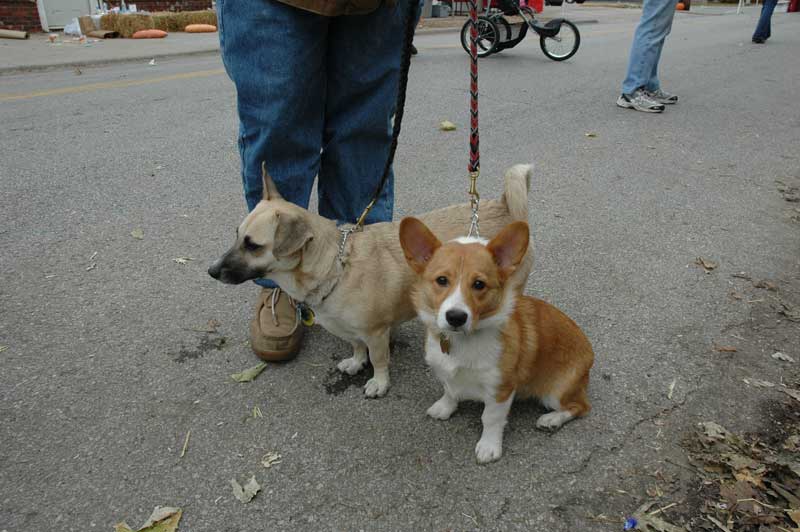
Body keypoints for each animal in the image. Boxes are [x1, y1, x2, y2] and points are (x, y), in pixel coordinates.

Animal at [209, 164, 536, 396]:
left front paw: (379, 382)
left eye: (253, 245)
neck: (336, 265)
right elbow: (356, 346)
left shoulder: (376, 332)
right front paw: (356, 361)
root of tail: (504, 205)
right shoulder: (354, 330)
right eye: (237, 235)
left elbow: (379, 359)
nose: (211, 271)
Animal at [400, 218, 592, 464]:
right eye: (442, 280)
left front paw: (489, 446)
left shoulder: (500, 389)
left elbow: (490, 418)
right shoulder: (447, 374)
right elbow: (449, 390)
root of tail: (589, 351)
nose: (456, 317)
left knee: (581, 407)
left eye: (479, 284)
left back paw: (551, 420)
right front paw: (444, 407)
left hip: (556, 392)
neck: (464, 341)